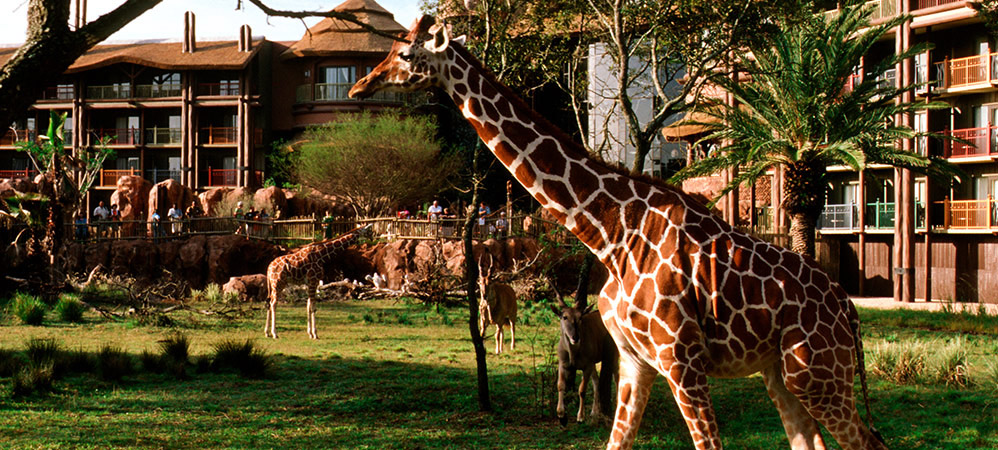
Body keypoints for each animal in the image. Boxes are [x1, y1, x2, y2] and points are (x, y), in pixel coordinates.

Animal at [352, 16, 892, 450]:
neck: (610, 232)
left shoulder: (682, 361)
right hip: (782, 374)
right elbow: (616, 438)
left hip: (817, 373)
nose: (360, 87)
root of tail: (849, 310)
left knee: (868, 441)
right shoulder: (637, 362)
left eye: (406, 54)